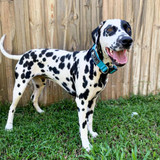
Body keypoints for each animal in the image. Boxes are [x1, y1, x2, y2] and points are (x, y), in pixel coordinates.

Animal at [0, 19, 132, 151]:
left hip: (40, 84)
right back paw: (9, 126)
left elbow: (90, 120)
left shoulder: (92, 100)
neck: (95, 64)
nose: (127, 40)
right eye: (109, 29)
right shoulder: (82, 102)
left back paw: (39, 111)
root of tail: (24, 54)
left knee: (33, 98)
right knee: (12, 107)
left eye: (128, 28)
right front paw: (86, 144)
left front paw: (91, 133)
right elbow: (83, 126)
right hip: (19, 87)